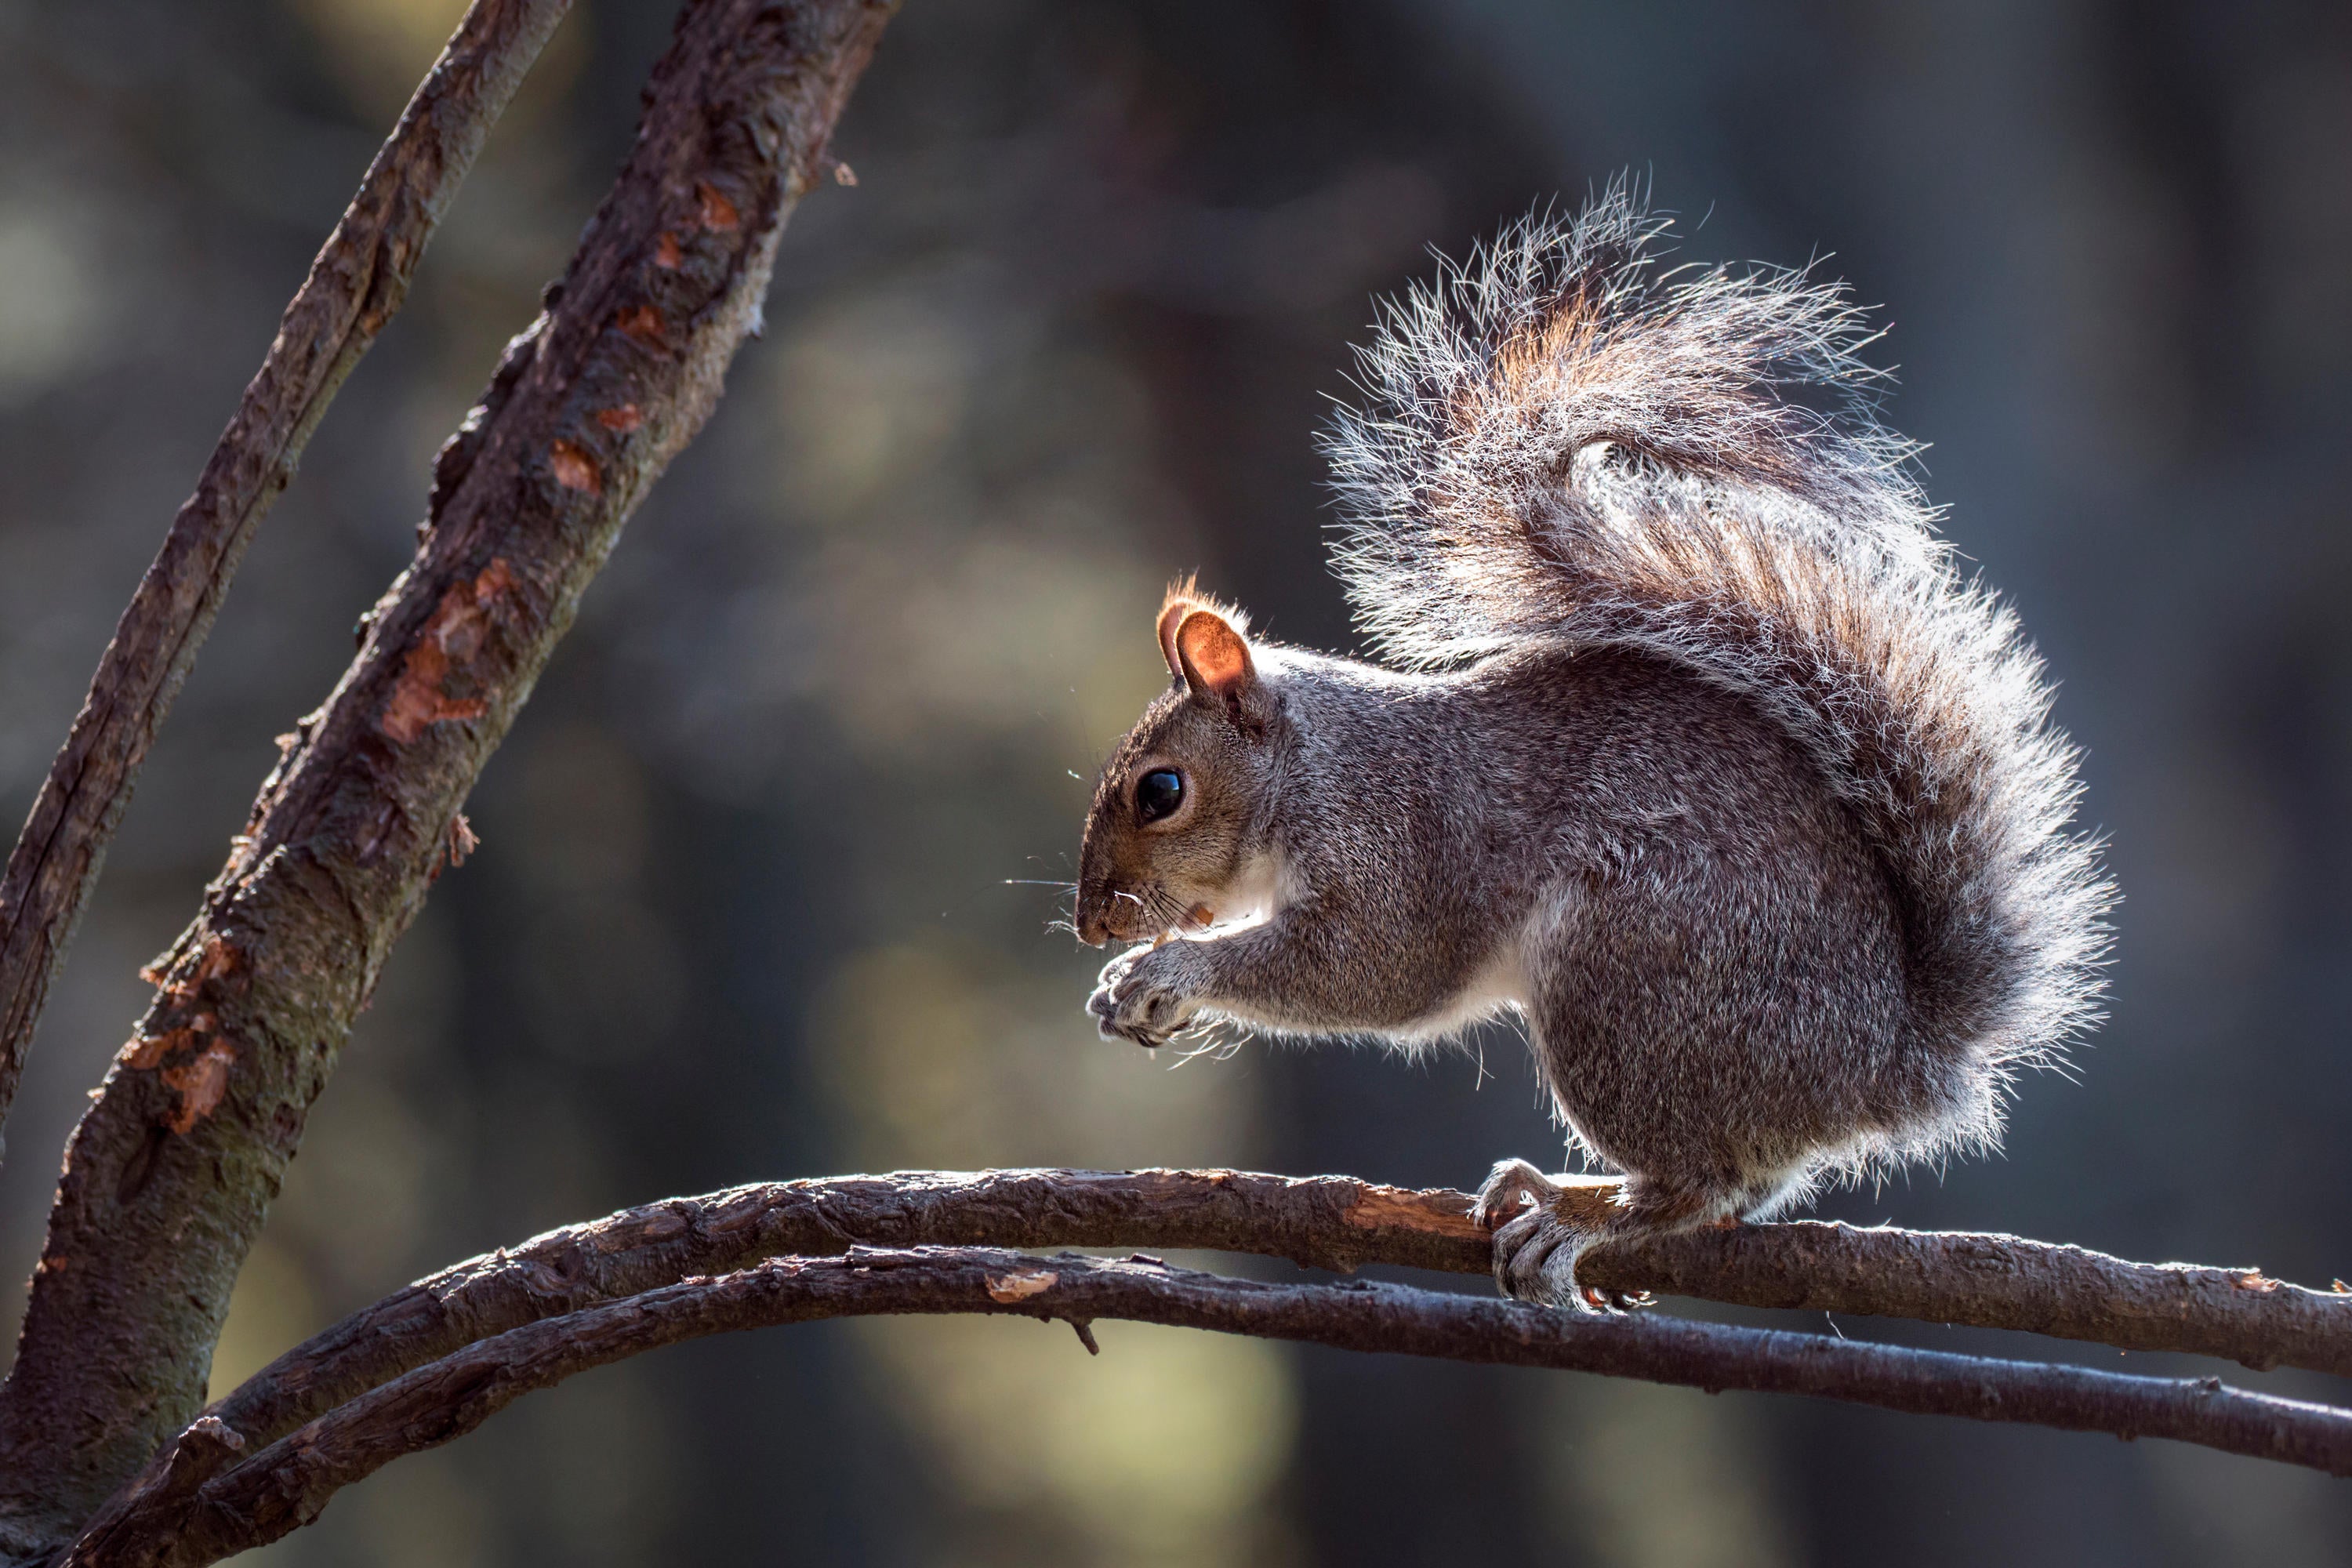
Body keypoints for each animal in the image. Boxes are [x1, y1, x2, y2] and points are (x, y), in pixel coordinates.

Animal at [1068, 190, 2117, 1307]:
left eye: (1161, 790)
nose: (1092, 923)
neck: (1317, 765)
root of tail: (1890, 1060)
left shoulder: (1398, 846)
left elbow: (1371, 970)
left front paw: (1169, 969)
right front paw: (1128, 977)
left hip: (1624, 978)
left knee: (1699, 1182)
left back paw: (1583, 1214)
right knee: (1748, 1178)